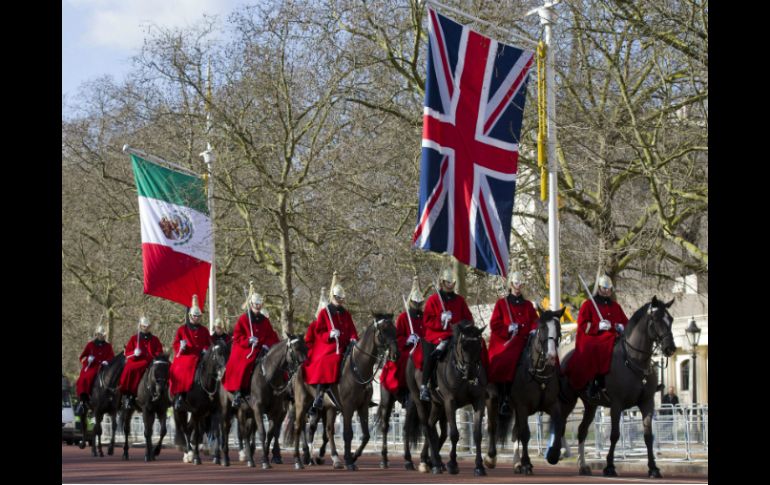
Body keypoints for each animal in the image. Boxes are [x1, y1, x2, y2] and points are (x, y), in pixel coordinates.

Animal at [288, 314, 396, 468]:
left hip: (328, 408)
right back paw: (299, 459)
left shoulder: (362, 407)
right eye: (384, 330)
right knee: (299, 427)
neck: (357, 369)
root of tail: (299, 368)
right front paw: (349, 460)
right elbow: (348, 433)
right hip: (302, 404)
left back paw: (333, 458)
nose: (395, 354)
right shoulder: (348, 407)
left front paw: (353, 456)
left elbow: (366, 435)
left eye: (395, 329)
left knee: (328, 430)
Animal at [486, 306, 564, 472]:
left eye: (559, 329)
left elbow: (559, 425)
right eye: (542, 328)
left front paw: (553, 455)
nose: (551, 357)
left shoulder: (553, 404)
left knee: (515, 431)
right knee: (492, 427)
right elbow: (525, 434)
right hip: (492, 400)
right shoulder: (522, 407)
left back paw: (516, 462)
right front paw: (527, 463)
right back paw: (490, 458)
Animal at [556, 294, 676, 476]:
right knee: (561, 424)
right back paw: (560, 453)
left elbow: (648, 436)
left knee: (582, 431)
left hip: (590, 405)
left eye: (671, 319)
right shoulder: (616, 405)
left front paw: (653, 468)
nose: (670, 348)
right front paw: (610, 466)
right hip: (568, 401)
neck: (633, 360)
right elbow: (614, 435)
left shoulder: (647, 403)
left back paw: (583, 465)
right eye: (655, 319)